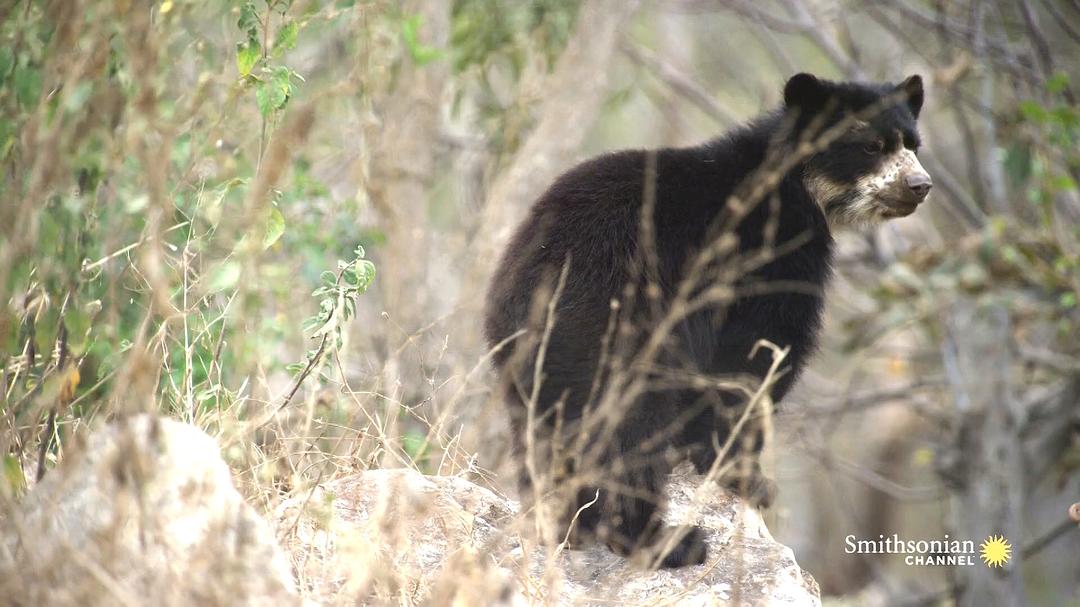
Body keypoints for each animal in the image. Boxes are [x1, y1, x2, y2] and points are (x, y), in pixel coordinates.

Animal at [481, 71, 928, 565]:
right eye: (871, 146)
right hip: (612, 325)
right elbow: (755, 354)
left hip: (533, 365)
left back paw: (567, 522)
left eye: (914, 143)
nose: (920, 185)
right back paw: (665, 540)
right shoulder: (767, 252)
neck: (793, 186)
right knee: (628, 427)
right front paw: (750, 478)